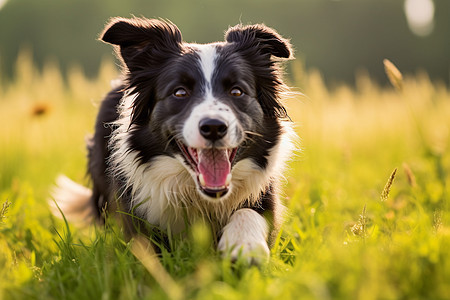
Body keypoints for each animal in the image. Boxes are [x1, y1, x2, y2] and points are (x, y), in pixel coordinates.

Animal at [51, 17, 296, 264]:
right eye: (179, 93)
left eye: (237, 91)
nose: (214, 127)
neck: (199, 196)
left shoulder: (265, 194)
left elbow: (250, 212)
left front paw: (245, 246)